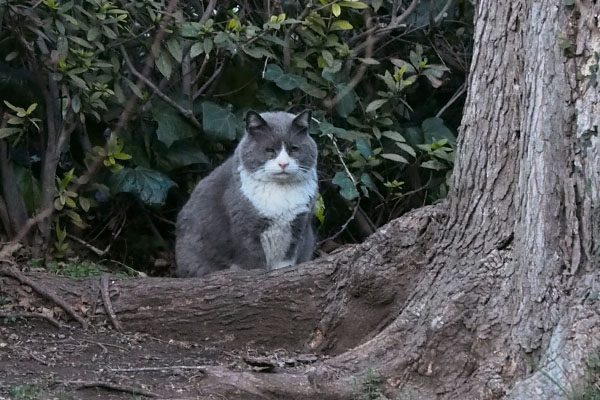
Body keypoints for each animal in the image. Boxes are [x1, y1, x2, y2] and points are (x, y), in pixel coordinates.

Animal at [175, 109, 318, 278]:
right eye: (269, 150)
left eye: (294, 149)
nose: (283, 164)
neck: (280, 191)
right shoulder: (246, 230)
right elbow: (253, 263)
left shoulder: (298, 229)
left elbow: (285, 263)